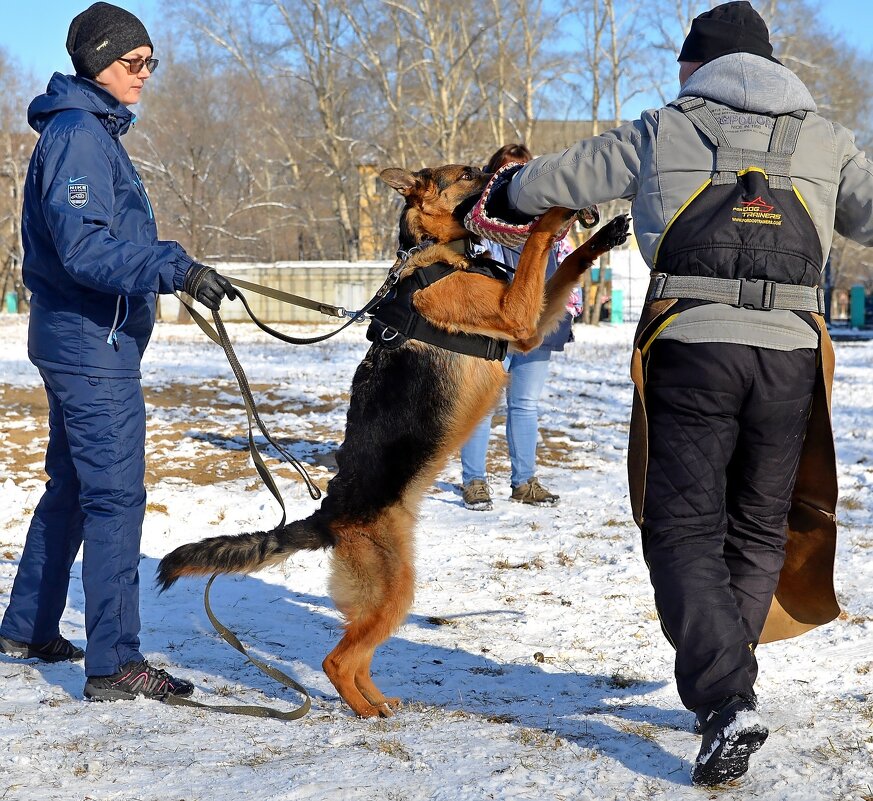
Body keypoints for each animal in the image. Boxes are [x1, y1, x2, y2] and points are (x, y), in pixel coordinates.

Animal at [158, 164, 628, 720]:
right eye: (468, 174)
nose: (503, 170)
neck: (436, 253)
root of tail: (328, 516)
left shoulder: (527, 329)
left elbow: (567, 265)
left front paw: (601, 236)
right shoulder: (518, 316)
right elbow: (537, 248)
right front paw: (554, 216)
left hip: (392, 589)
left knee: (358, 656)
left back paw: (379, 702)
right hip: (394, 589)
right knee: (336, 660)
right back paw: (364, 713)